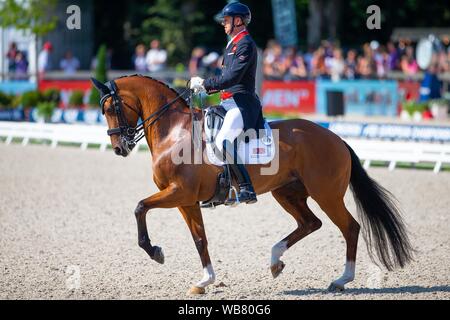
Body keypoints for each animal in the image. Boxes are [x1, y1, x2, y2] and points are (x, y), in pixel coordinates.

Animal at [92, 75, 414, 296]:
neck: (174, 133)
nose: (119, 147)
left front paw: (154, 251)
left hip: (326, 194)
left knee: (349, 227)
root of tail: (336, 138)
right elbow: (200, 239)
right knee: (310, 223)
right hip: (286, 192)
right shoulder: (187, 201)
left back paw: (341, 279)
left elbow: (139, 207)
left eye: (111, 108)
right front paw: (204, 281)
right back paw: (275, 261)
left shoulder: (178, 193)